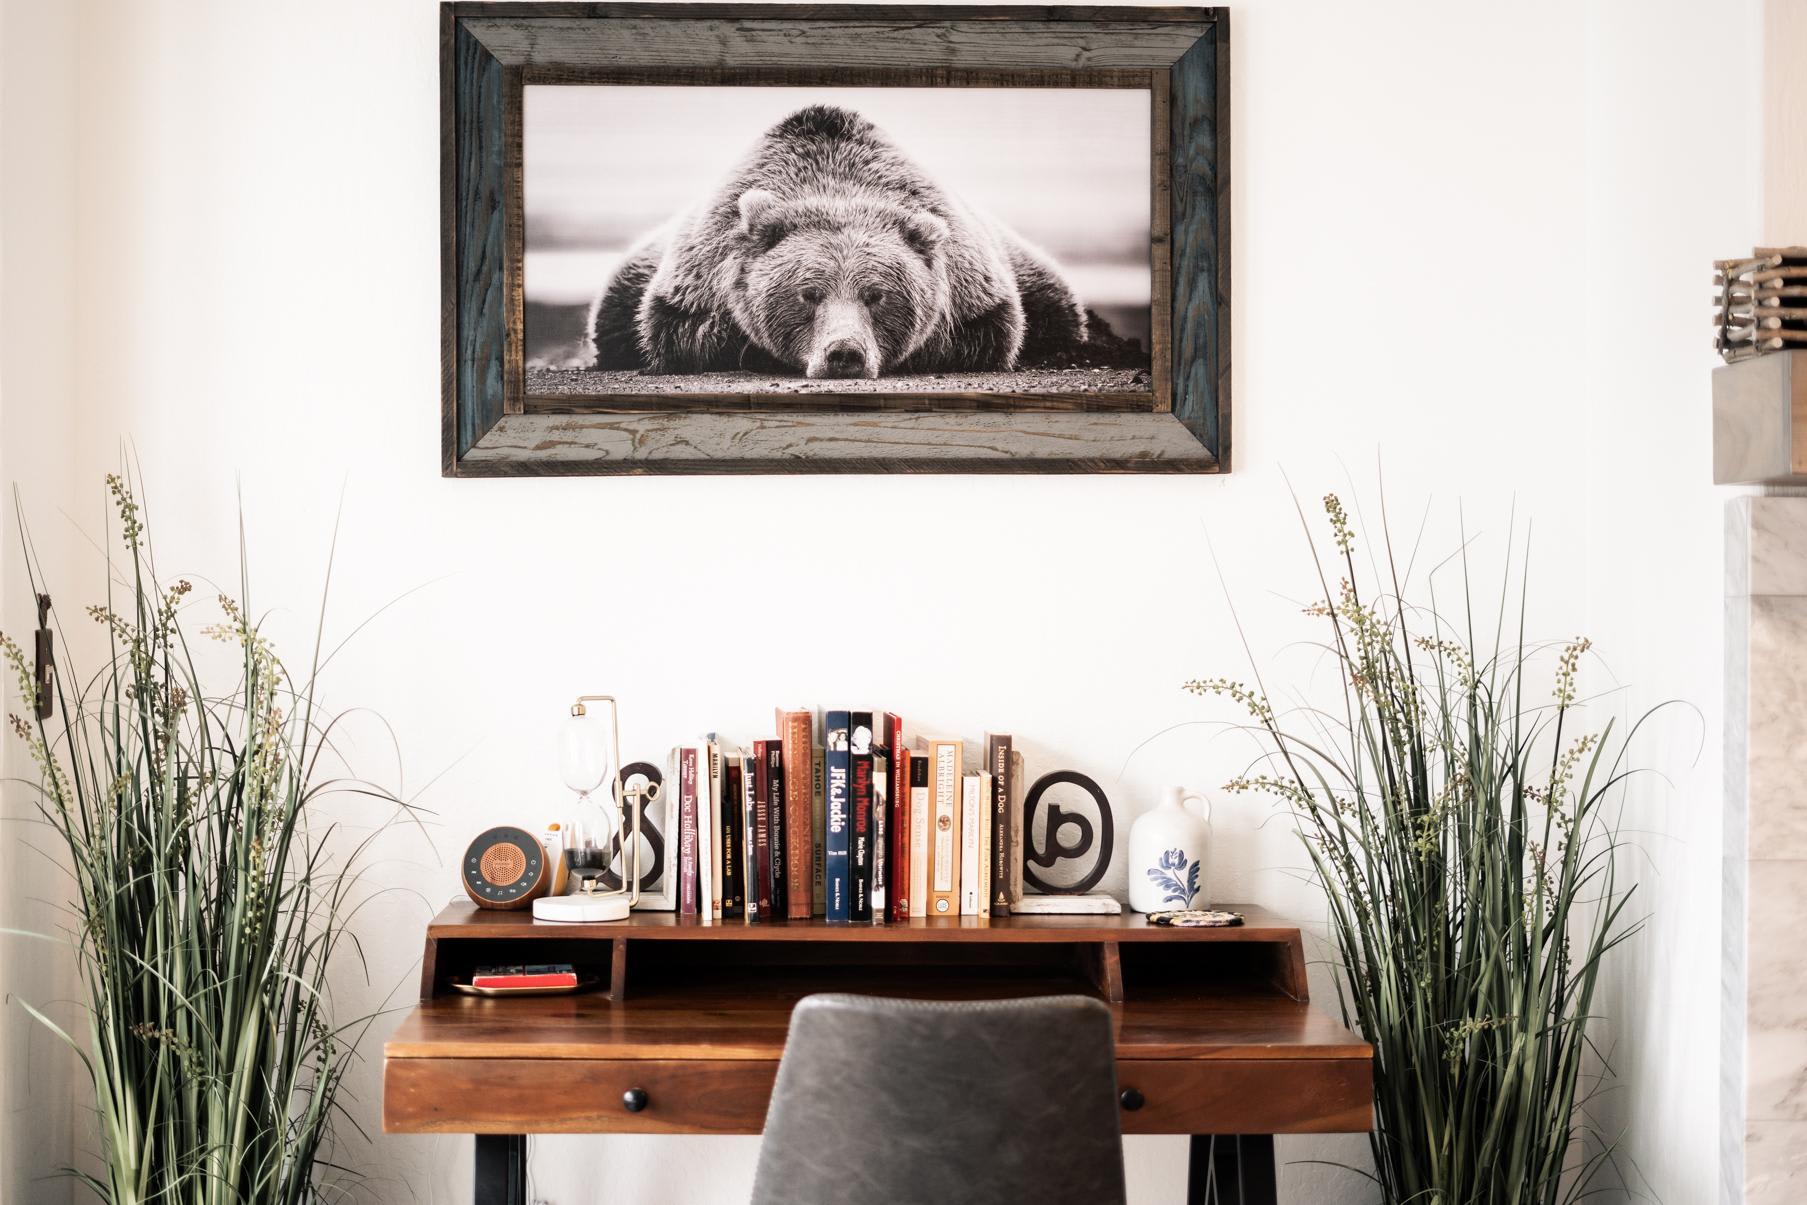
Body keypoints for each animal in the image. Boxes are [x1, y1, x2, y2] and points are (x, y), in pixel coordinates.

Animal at [585, 107, 1076, 381]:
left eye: (877, 295)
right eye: (808, 294)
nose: (845, 353)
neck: (835, 185)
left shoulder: (975, 290)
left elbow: (990, 333)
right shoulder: (696, 280)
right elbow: (682, 332)